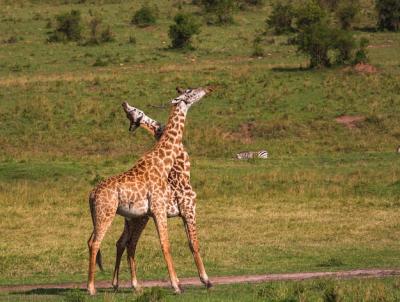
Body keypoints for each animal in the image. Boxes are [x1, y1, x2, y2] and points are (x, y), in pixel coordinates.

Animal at [87, 85, 212, 294]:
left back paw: (127, 285)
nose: (207, 89)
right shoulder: (174, 210)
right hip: (107, 213)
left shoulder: (160, 212)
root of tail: (91, 194)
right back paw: (91, 288)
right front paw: (185, 284)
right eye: (191, 91)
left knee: (117, 242)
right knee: (98, 242)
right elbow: (174, 244)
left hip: (116, 217)